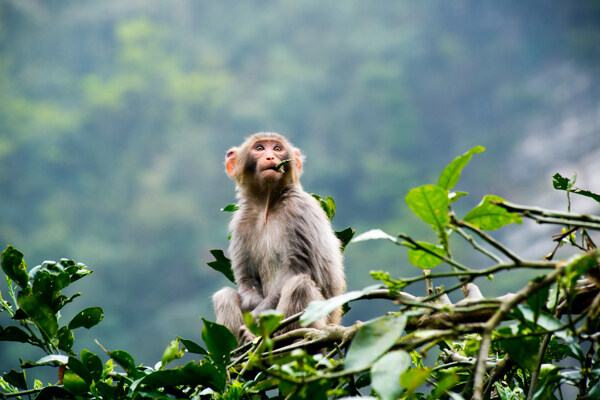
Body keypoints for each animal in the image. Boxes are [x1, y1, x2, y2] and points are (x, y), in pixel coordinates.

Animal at [212, 132, 344, 344]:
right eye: (259, 148)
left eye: (277, 148)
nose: (270, 157)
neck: (267, 204)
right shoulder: (240, 222)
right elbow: (247, 280)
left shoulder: (299, 209)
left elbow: (297, 269)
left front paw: (254, 322)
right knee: (224, 296)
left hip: (321, 322)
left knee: (300, 284)